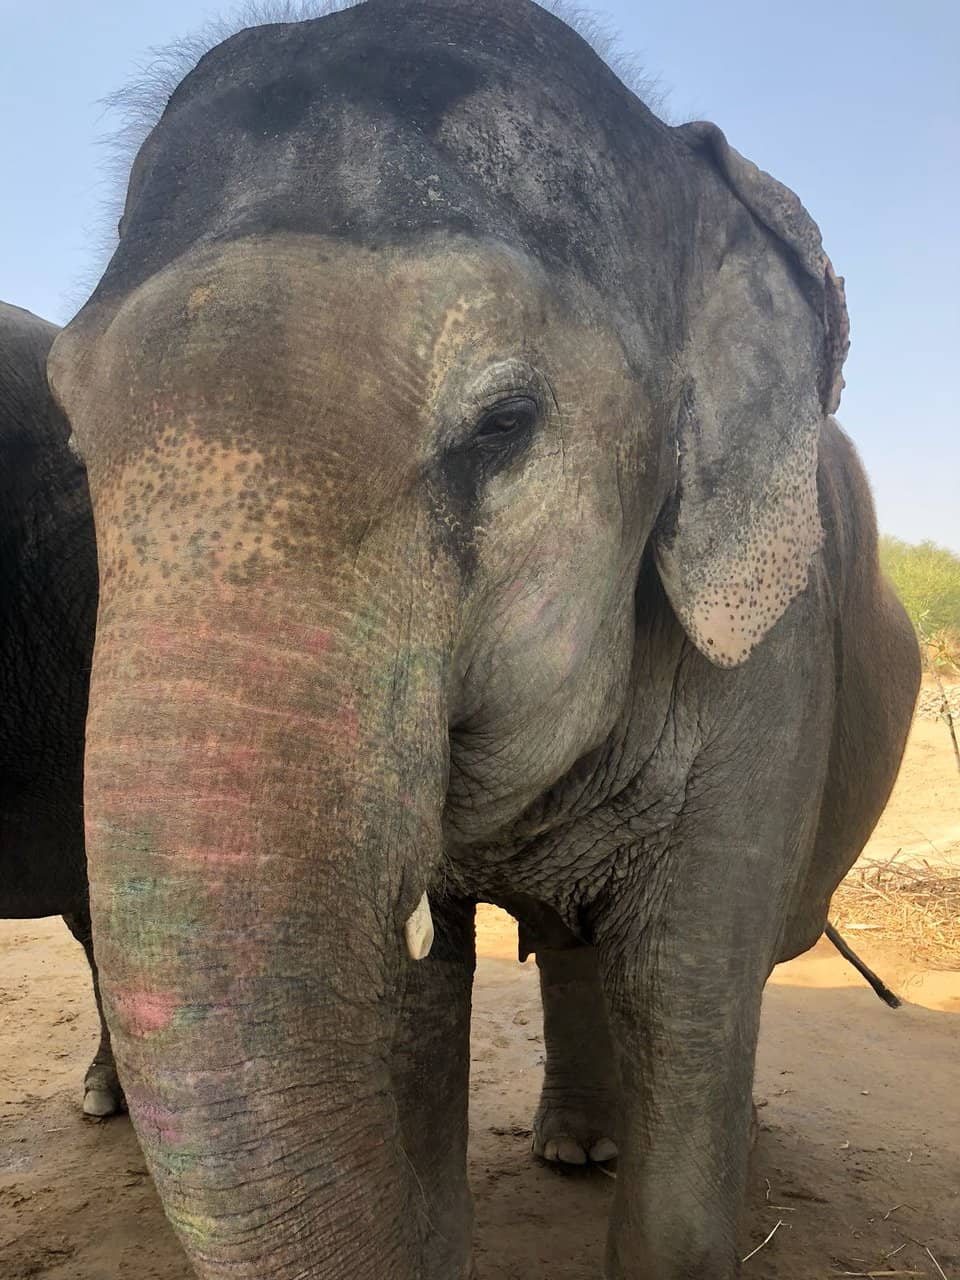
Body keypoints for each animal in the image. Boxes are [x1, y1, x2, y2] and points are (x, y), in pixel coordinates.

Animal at [48, 1, 921, 1276]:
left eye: (504, 424)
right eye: (70, 435)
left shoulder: (774, 658)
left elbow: (689, 985)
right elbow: (420, 1010)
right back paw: (574, 1146)